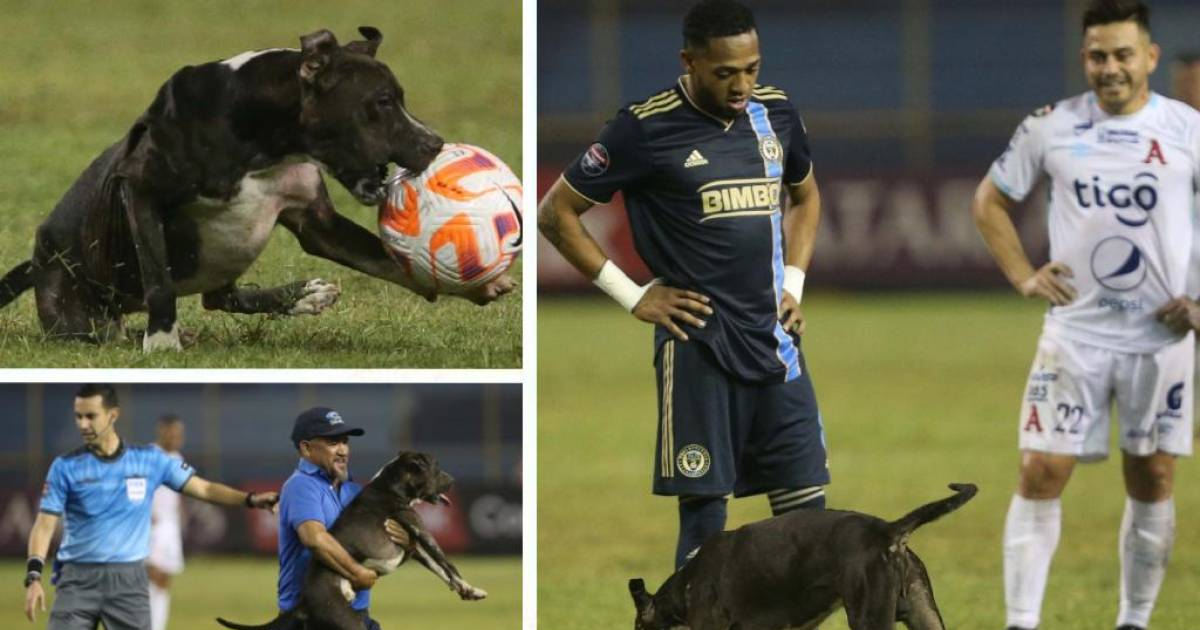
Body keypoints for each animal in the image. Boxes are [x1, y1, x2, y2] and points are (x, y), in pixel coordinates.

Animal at [0, 25, 504, 348]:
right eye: (381, 101)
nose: (434, 142)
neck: (264, 142)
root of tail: (37, 261)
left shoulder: (317, 223)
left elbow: (387, 258)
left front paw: (477, 285)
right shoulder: (140, 189)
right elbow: (159, 279)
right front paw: (161, 342)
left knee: (223, 297)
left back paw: (303, 296)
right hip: (74, 314)